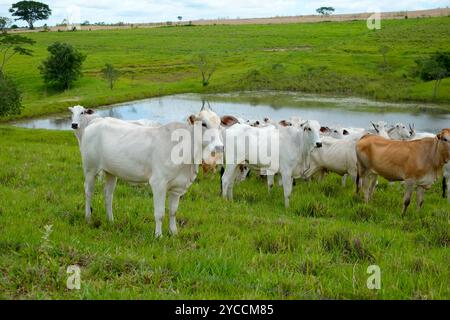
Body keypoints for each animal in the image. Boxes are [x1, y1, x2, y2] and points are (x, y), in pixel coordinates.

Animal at [80, 105, 224, 238]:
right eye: (204, 124)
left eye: (219, 125)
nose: (219, 147)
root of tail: (98, 121)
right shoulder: (158, 182)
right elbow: (160, 213)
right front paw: (158, 236)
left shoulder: (178, 186)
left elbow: (173, 211)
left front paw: (174, 233)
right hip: (90, 168)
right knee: (88, 191)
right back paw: (88, 218)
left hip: (111, 172)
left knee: (108, 194)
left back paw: (111, 220)